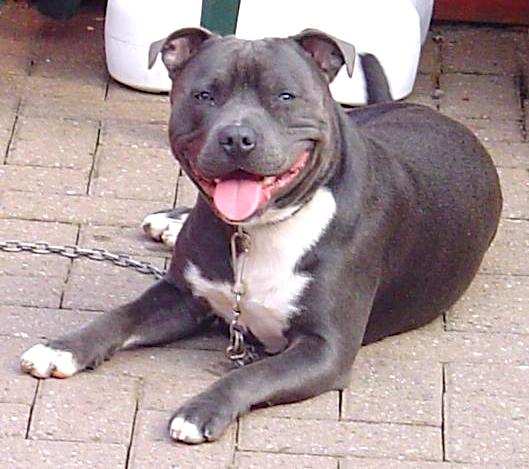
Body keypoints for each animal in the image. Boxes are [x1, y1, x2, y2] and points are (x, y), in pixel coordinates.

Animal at [19, 28, 500, 442]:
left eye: (284, 96)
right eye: (205, 95)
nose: (237, 136)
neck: (255, 233)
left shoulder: (324, 348)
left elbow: (252, 372)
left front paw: (200, 410)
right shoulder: (181, 295)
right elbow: (120, 316)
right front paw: (62, 348)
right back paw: (171, 222)